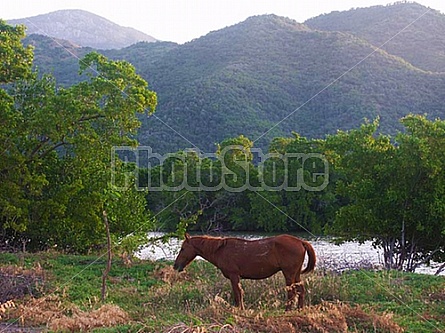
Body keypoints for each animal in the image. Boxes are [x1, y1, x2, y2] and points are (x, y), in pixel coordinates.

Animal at [173, 233, 316, 308]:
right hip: (296, 274)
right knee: (300, 290)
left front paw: (239, 309)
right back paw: (299, 309)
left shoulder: (234, 276)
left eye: (183, 249)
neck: (220, 250)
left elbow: (237, 293)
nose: (176, 266)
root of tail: (301, 242)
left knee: (291, 292)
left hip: (289, 273)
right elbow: (239, 293)